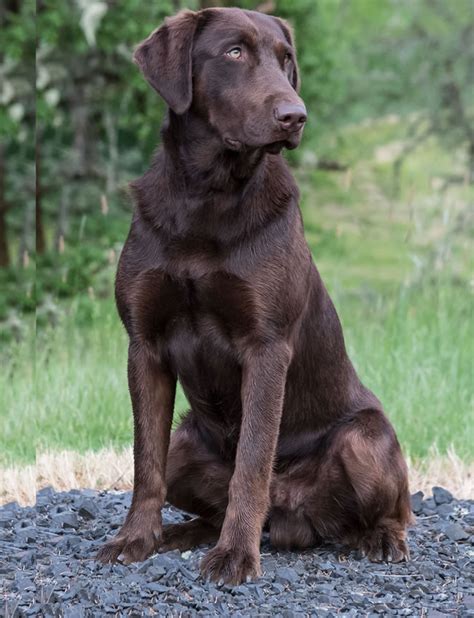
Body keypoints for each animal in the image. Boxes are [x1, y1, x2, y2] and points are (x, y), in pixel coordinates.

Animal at [96, 8, 412, 584]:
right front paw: (135, 539)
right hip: (185, 445)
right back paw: (179, 534)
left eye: (286, 60)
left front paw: (236, 555)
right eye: (234, 52)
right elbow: (144, 462)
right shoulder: (143, 345)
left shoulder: (266, 347)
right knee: (195, 492)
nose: (295, 115)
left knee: (395, 509)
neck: (208, 196)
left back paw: (379, 537)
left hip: (366, 439)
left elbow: (252, 462)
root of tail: (293, 518)